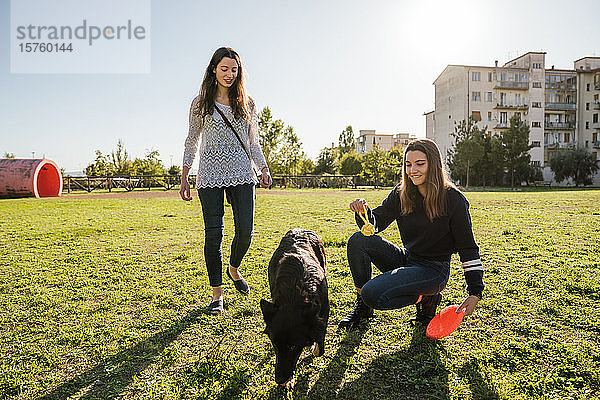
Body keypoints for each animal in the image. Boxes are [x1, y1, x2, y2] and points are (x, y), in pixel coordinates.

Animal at [260, 230, 330, 386]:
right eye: (274, 344)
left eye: (292, 347)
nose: (279, 380)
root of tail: (300, 229)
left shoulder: (323, 313)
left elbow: (320, 347)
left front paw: (313, 346)